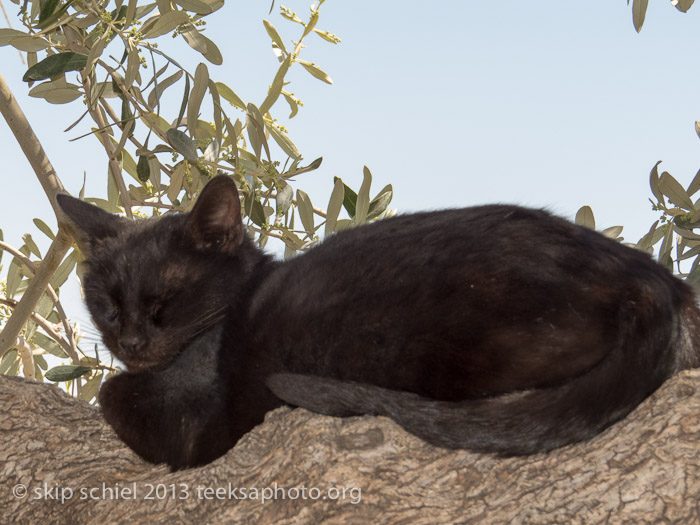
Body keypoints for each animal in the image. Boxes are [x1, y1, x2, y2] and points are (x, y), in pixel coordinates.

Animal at [57, 175, 700, 466]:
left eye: (164, 303)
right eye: (106, 304)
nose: (131, 339)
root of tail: (653, 282)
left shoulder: (197, 426)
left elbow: (112, 393)